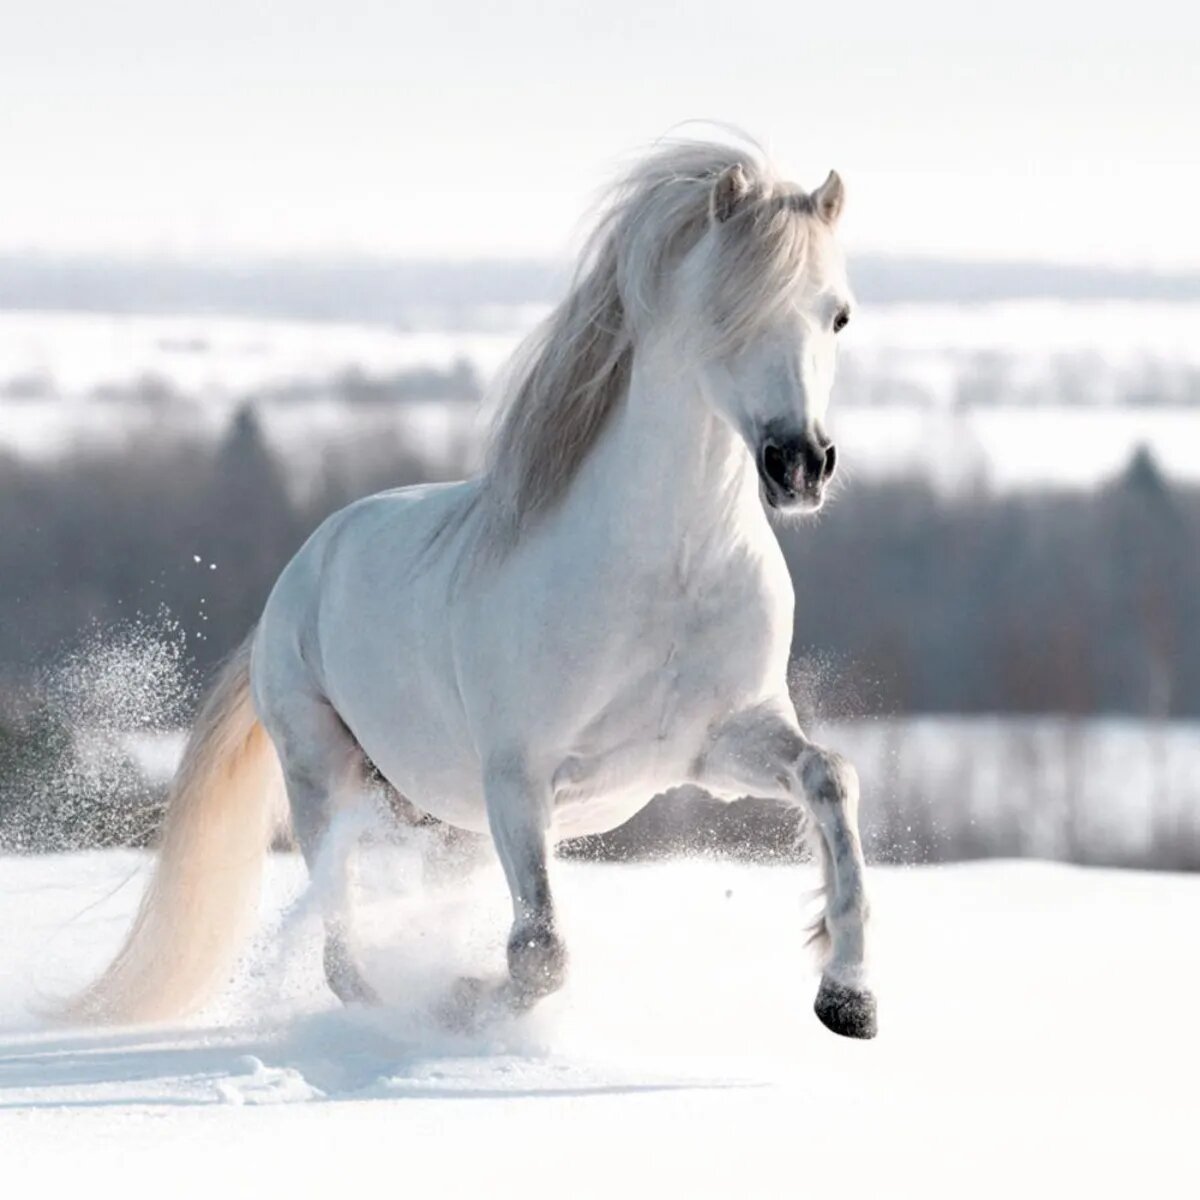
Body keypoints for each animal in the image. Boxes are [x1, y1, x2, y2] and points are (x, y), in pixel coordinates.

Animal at [72, 138, 876, 1039]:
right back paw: (390, 1011)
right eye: (726, 310)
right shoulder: (518, 779)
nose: (800, 464)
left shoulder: (717, 745)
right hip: (324, 775)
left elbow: (831, 777)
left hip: (440, 817)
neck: (667, 573)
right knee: (340, 944)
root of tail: (302, 567)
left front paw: (849, 997)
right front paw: (462, 1002)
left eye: (838, 316)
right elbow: (539, 953)